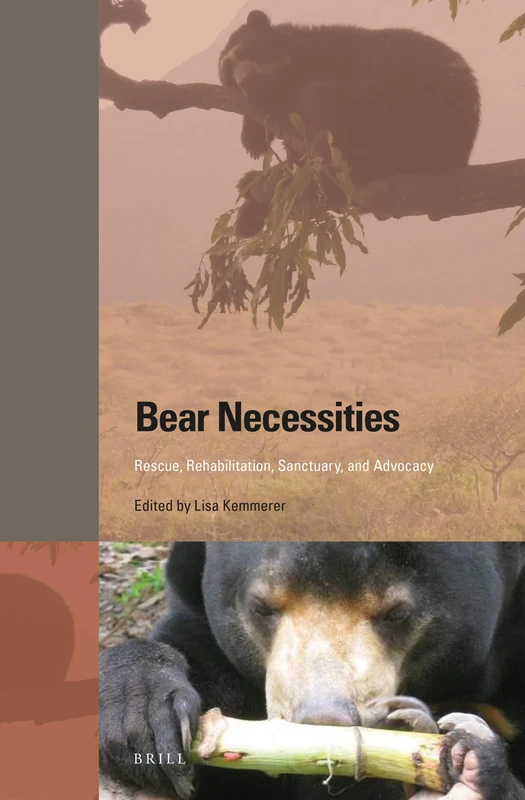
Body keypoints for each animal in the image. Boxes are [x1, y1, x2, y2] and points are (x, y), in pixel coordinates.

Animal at [99, 542, 525, 800]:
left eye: (397, 613)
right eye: (262, 606)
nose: (324, 719)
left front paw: (465, 754)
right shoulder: (196, 605)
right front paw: (142, 723)